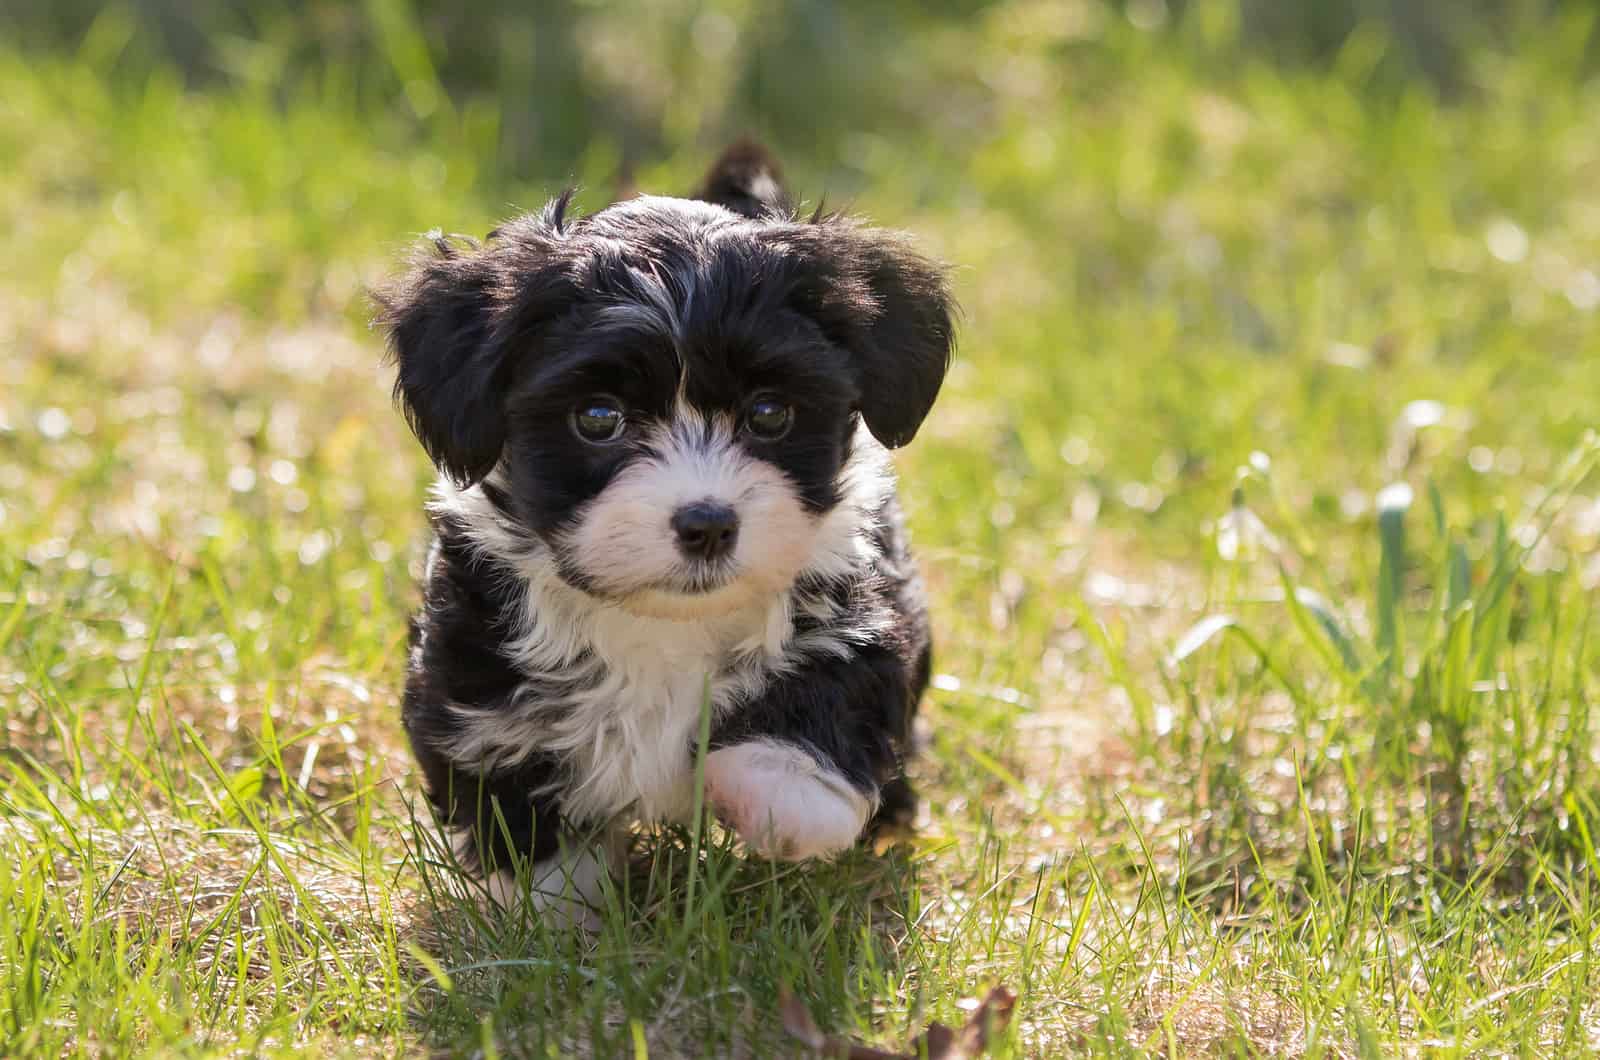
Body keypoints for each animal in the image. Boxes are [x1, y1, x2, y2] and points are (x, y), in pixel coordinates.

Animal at [377, 143, 947, 928]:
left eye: (769, 413)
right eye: (598, 418)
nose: (706, 524)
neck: (663, 621)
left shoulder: (855, 604)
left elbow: (831, 694)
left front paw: (776, 795)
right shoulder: (475, 675)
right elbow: (518, 806)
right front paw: (555, 916)